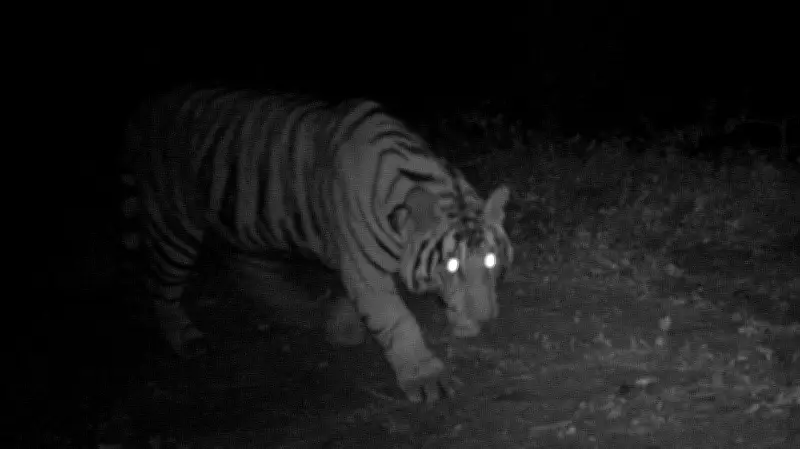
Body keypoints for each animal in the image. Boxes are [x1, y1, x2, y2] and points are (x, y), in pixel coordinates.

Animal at [120, 85, 513, 403]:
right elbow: (397, 320)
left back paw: (304, 310)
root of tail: (148, 106)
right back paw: (185, 337)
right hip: (173, 224)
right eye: (451, 265)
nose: (487, 318)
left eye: (491, 262)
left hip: (249, 222)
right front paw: (426, 377)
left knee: (249, 267)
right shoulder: (365, 272)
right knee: (162, 285)